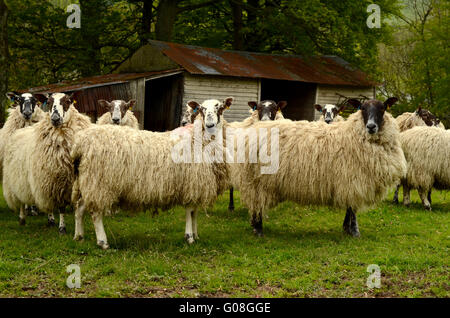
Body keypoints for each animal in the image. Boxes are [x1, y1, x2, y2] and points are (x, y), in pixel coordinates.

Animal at [1, 92, 91, 231]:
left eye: (68, 101)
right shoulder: (54, 181)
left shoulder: (72, 183)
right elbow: (60, 207)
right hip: (19, 179)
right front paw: (61, 227)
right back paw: (23, 218)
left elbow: (75, 206)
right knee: (21, 199)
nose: (55, 118)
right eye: (48, 102)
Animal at [70, 96, 234, 248]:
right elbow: (189, 212)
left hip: (88, 181)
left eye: (220, 108)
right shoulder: (191, 183)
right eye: (201, 109)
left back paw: (79, 236)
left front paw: (196, 235)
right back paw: (102, 242)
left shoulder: (198, 185)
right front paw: (189, 237)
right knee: (95, 213)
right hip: (99, 182)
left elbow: (194, 213)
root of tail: (81, 143)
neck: (199, 140)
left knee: (79, 207)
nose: (210, 125)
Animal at [237, 98, 406, 237]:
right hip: (257, 181)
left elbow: (349, 207)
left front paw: (346, 228)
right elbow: (353, 209)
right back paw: (258, 229)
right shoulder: (353, 180)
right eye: (362, 108)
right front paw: (354, 231)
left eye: (382, 108)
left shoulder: (350, 182)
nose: (371, 126)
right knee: (257, 204)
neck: (355, 134)